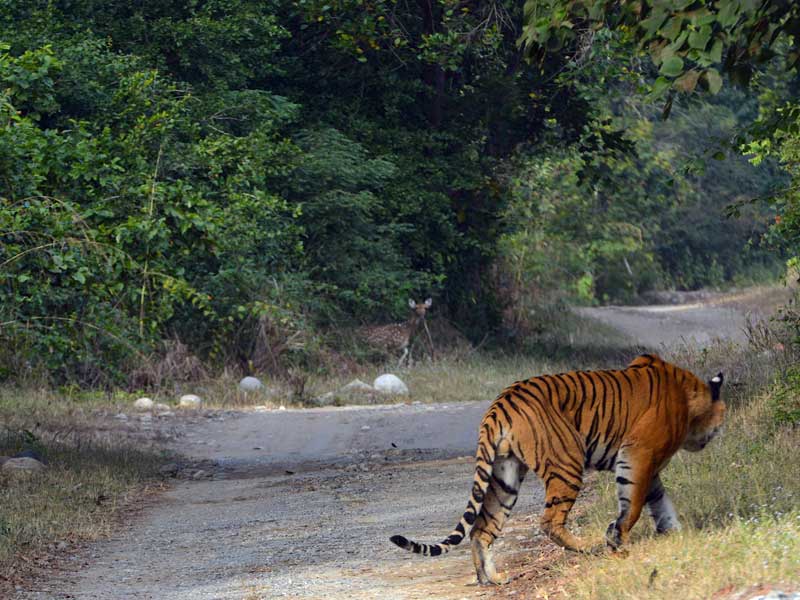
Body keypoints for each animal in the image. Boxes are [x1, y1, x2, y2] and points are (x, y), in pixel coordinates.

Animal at [390, 354, 728, 584]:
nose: (715, 435)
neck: (688, 395)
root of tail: (500, 403)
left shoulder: (649, 468)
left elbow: (659, 502)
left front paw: (677, 534)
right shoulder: (638, 455)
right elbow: (632, 504)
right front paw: (617, 539)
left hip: (505, 477)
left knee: (481, 528)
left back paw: (491, 579)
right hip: (567, 463)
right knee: (549, 521)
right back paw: (589, 546)